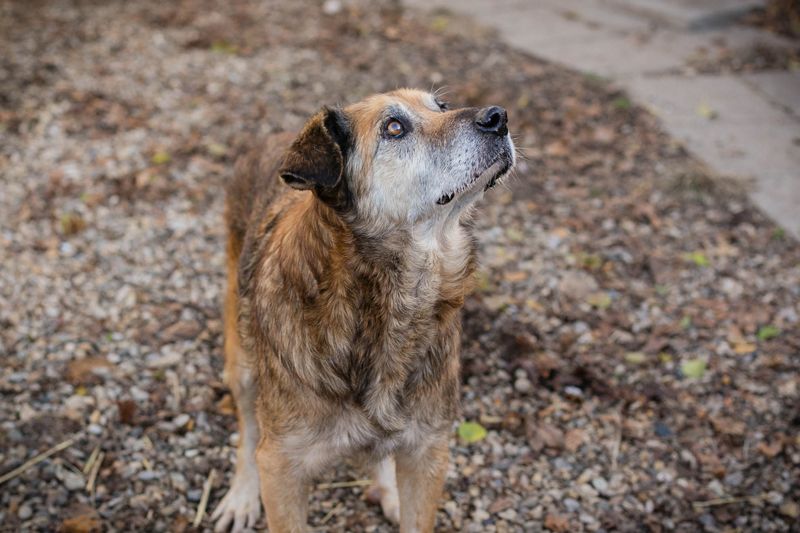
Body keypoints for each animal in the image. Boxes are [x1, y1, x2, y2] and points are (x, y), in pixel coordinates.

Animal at [212, 88, 514, 533]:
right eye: (394, 128)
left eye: (440, 107)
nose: (499, 117)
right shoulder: (282, 468)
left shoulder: (428, 451)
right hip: (243, 363)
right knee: (249, 427)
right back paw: (240, 495)